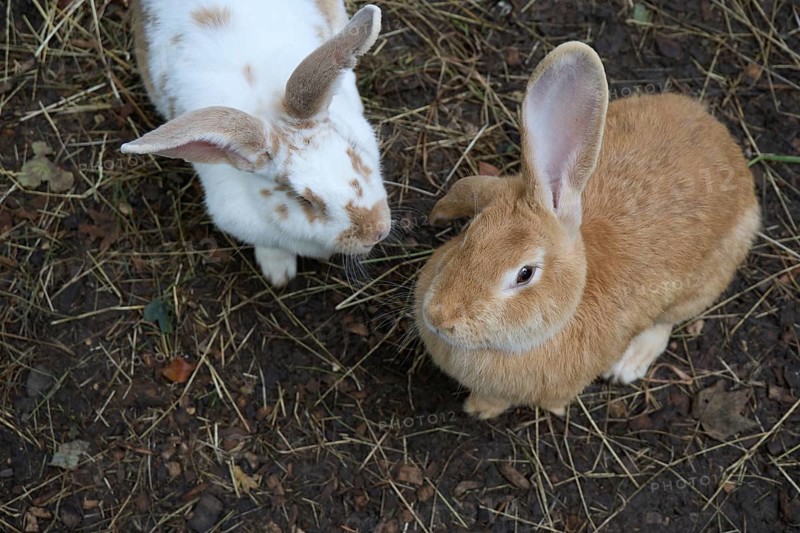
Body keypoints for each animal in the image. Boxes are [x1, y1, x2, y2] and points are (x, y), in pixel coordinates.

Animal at [414, 41, 760, 419]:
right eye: (470, 232)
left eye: (525, 274)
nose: (438, 317)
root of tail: (731, 152)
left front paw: (479, 409)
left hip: (704, 283)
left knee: (666, 321)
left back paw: (629, 364)